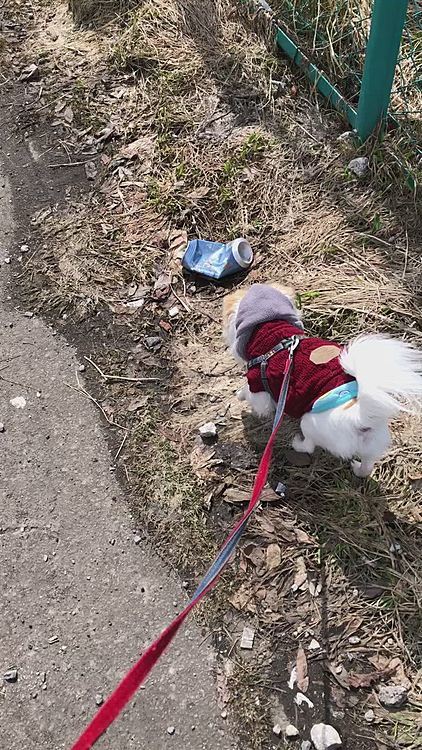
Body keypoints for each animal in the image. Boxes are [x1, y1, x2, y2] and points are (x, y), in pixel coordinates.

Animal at [221, 282, 422, 476]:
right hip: (372, 443)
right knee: (366, 467)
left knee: (309, 446)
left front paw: (240, 396)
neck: (274, 334)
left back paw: (297, 443)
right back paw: (358, 469)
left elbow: (250, 394)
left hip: (308, 422)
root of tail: (358, 417)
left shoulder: (258, 386)